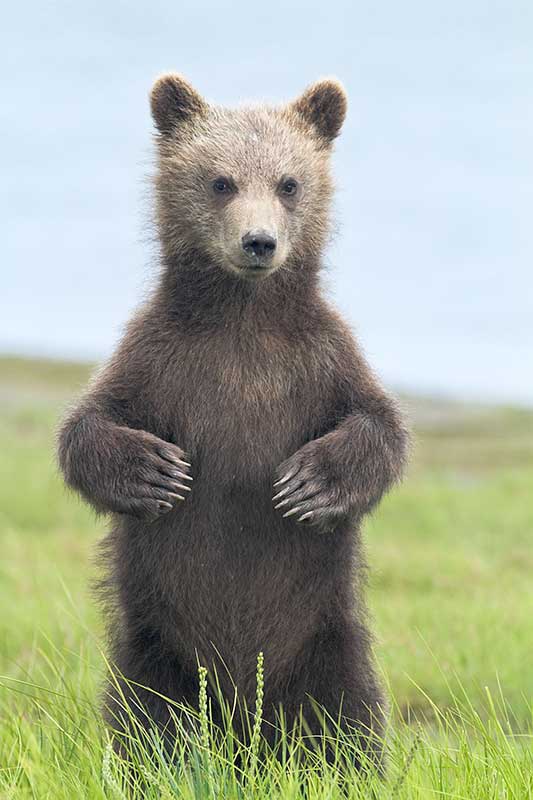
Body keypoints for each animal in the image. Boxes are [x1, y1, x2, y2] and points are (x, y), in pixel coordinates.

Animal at [57, 76, 408, 768]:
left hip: (325, 637)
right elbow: (86, 427)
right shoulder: (158, 358)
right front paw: (153, 471)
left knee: (346, 720)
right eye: (221, 181)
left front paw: (309, 483)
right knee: (146, 719)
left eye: (288, 182)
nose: (259, 242)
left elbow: (379, 427)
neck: (243, 320)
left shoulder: (320, 361)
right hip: (155, 645)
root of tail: (244, 728)